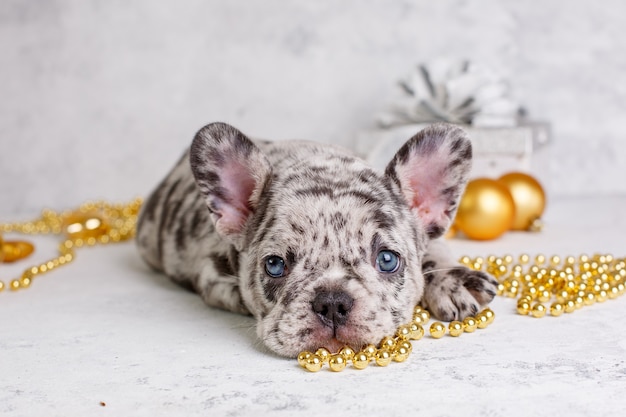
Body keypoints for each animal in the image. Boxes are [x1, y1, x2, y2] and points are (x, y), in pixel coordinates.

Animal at [134, 122, 494, 356]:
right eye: (275, 265)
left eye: (387, 260)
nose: (333, 302)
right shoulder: (210, 273)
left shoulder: (432, 240)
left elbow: (435, 253)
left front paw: (453, 281)